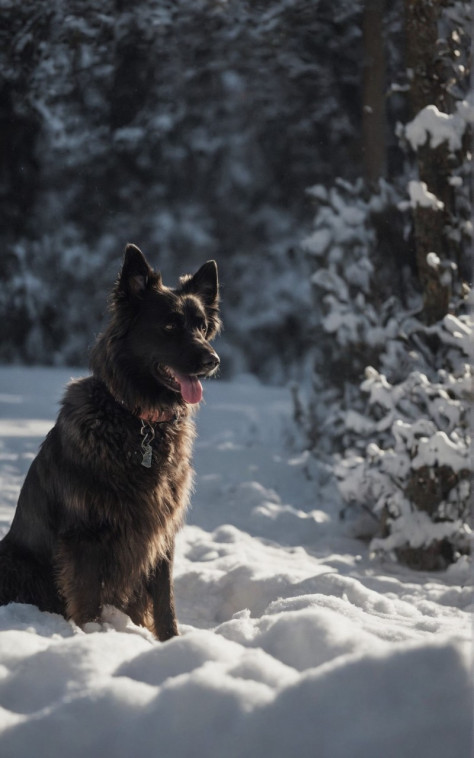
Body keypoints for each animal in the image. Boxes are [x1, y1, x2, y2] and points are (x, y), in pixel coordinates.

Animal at [0, 248, 220, 640]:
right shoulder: (84, 537)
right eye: (169, 326)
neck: (139, 422)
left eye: (201, 326)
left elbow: (165, 601)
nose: (213, 360)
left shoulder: (161, 531)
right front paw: (93, 639)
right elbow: (87, 601)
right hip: (16, 562)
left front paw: (170, 643)